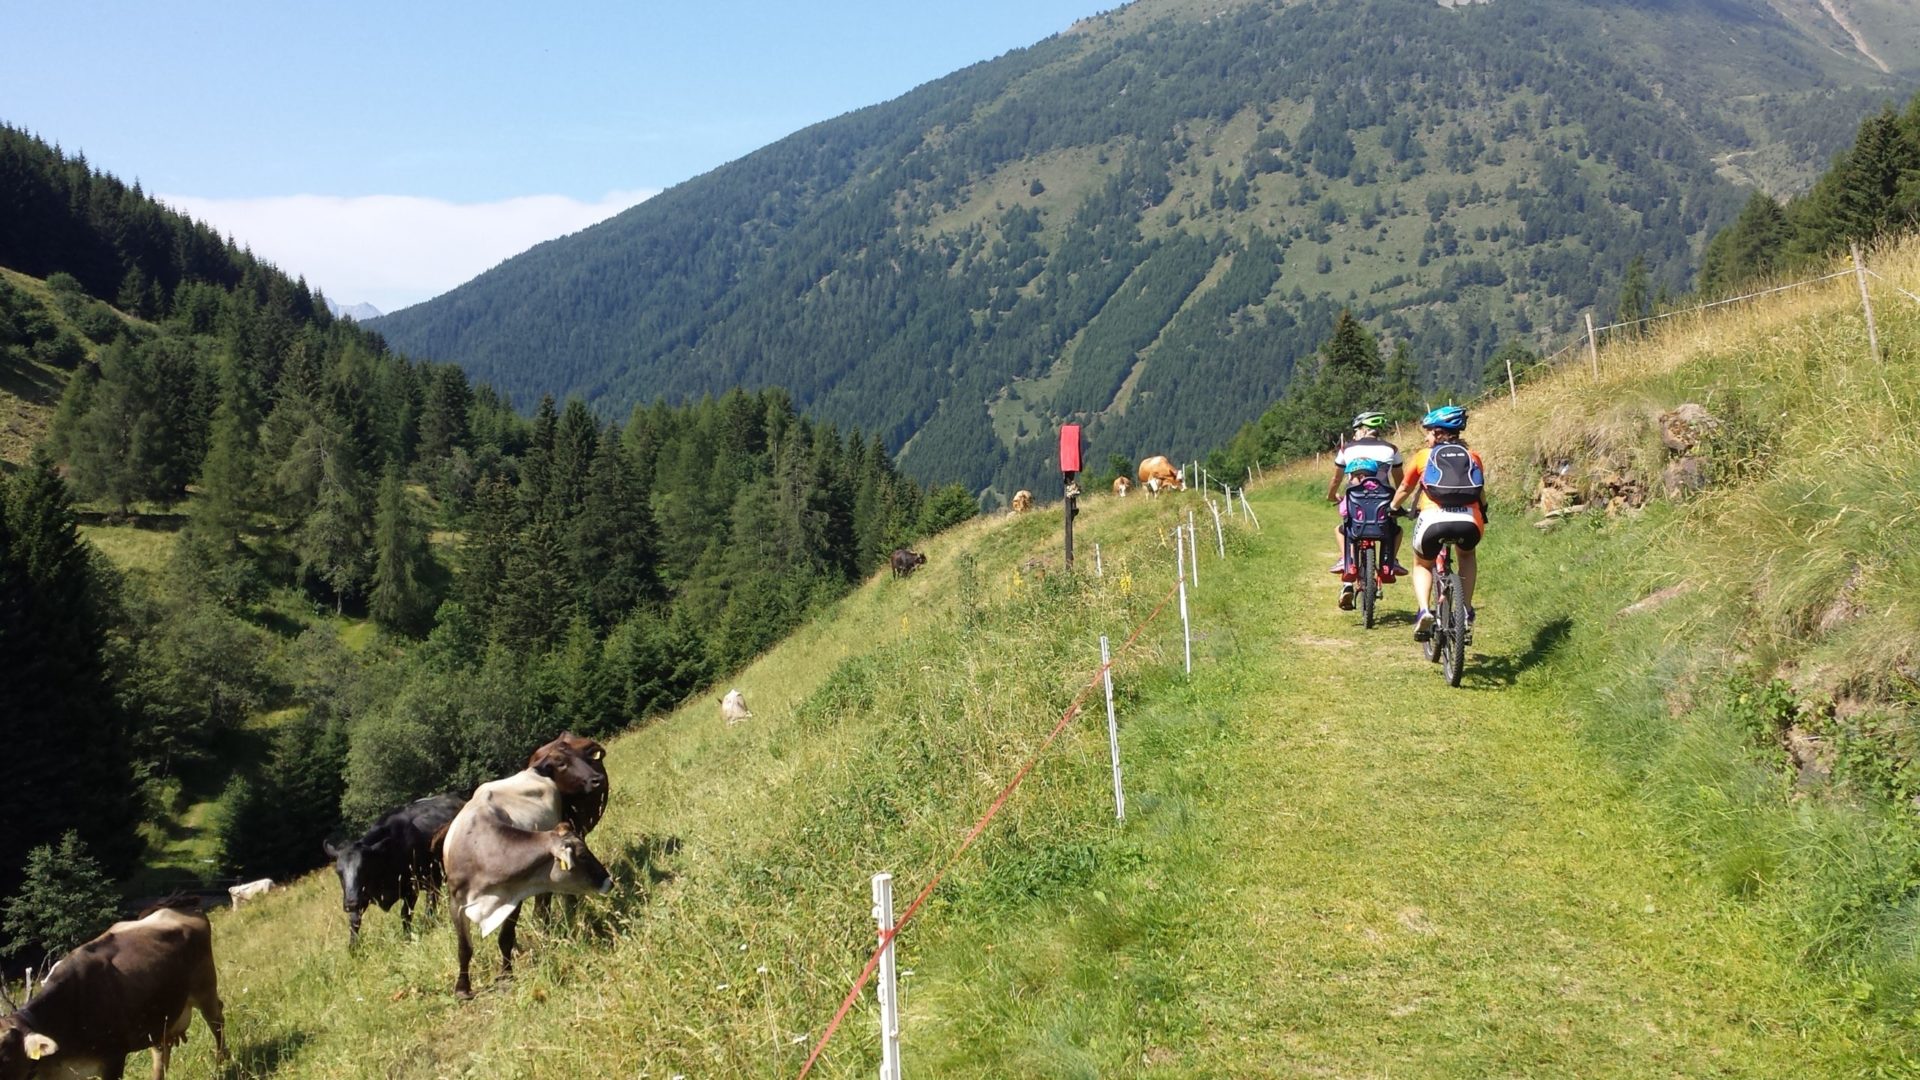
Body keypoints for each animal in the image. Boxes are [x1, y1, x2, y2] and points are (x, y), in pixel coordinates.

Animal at [0, 895, 226, 1076]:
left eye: (5, 1058)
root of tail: (174, 907)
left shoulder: (113, 1059)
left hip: (205, 989)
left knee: (217, 1021)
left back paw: (221, 1064)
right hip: (159, 1016)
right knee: (160, 1053)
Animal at [328, 791, 466, 941]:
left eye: (363, 868)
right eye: (338, 872)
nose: (350, 903)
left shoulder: (412, 888)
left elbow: (406, 914)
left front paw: (409, 937)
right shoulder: (362, 896)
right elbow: (354, 922)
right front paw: (353, 946)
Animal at [443, 818, 610, 999]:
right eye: (583, 855)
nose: (609, 880)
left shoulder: (515, 897)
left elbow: (505, 938)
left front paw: (506, 976)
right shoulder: (456, 903)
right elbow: (465, 948)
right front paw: (462, 989)